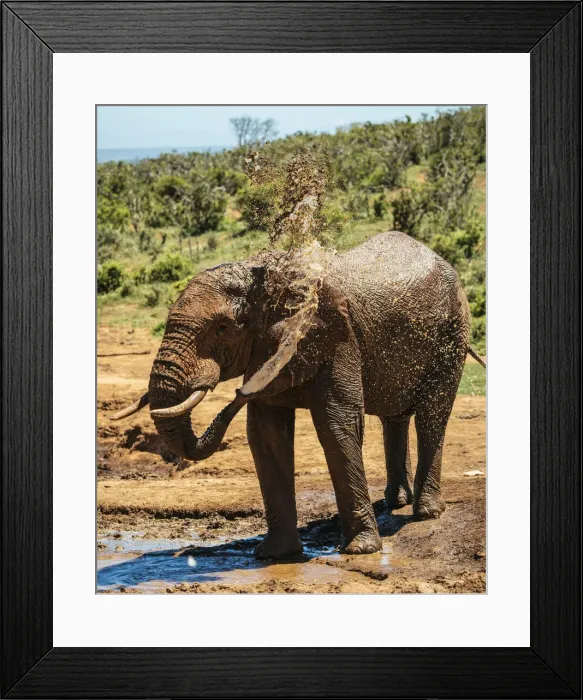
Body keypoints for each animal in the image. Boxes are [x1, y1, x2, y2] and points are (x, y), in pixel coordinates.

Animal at [112, 231, 485, 559]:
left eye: (222, 329)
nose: (235, 394)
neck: (271, 282)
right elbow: (266, 435)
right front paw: (274, 556)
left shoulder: (337, 337)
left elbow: (337, 425)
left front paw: (360, 550)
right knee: (395, 417)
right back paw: (396, 503)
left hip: (452, 331)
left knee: (432, 414)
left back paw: (427, 513)